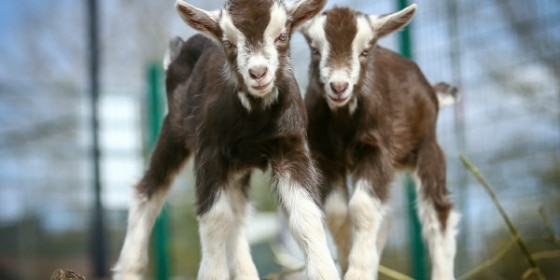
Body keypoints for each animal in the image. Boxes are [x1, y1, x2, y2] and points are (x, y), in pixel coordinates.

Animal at [111, 0, 336, 280]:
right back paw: (129, 269)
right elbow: (216, 218)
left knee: (239, 213)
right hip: (173, 130)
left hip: (237, 167)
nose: (258, 72)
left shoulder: (291, 147)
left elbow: (306, 214)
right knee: (148, 190)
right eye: (228, 42)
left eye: (282, 36)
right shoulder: (209, 151)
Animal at [302, 4, 460, 280]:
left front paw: (357, 272)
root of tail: (431, 90)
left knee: (438, 211)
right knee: (386, 218)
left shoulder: (377, 149)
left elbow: (362, 207)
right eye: (315, 50)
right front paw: (347, 263)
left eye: (365, 51)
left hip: (427, 146)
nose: (339, 87)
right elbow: (337, 212)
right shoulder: (325, 157)